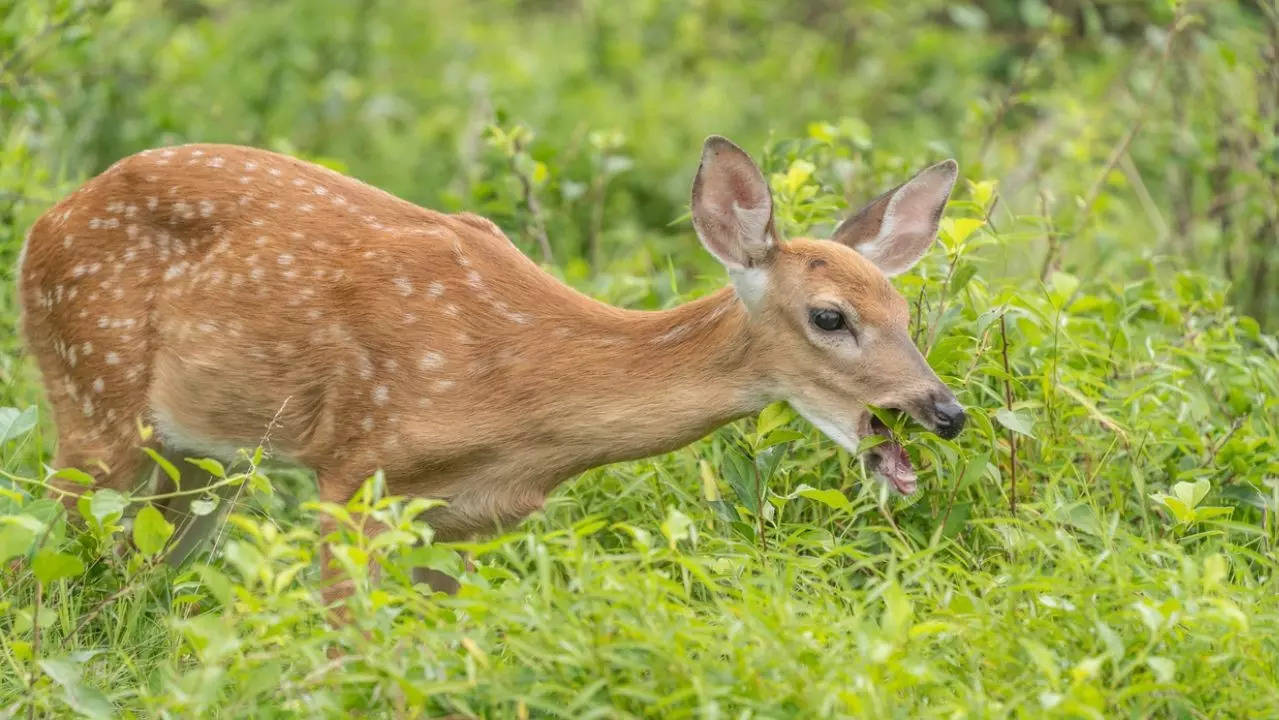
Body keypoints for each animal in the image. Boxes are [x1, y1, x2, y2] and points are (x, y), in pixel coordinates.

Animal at [19, 135, 961, 603]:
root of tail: (43, 223)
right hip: (90, 386)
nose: (942, 409)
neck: (518, 394)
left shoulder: (462, 518)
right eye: (829, 317)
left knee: (144, 568)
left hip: (201, 459)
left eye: (905, 313)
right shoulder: (354, 466)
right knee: (52, 553)